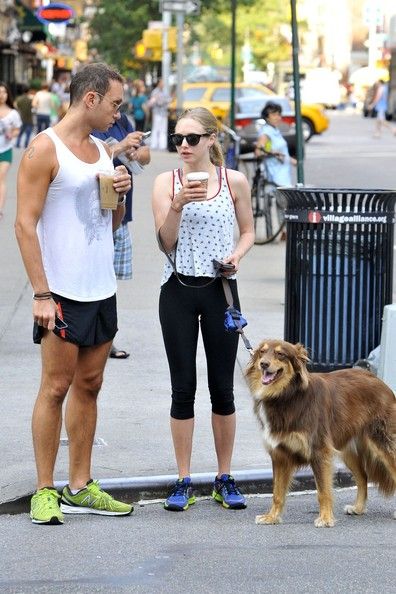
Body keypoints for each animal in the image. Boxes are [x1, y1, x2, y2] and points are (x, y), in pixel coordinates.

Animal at [246, 336, 394, 524]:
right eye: (262, 352)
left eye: (280, 354)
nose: (263, 364)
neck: (287, 395)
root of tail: (380, 382)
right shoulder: (280, 454)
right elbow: (277, 493)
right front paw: (272, 517)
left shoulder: (319, 451)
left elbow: (323, 491)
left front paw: (325, 519)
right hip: (347, 450)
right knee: (363, 477)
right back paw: (358, 508)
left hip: (382, 443)